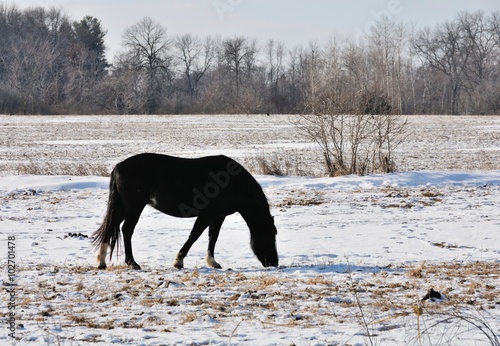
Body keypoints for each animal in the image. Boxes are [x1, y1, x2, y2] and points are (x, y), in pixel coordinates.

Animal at [92, 153, 280, 270]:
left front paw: (212, 262)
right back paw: (132, 263)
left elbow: (213, 237)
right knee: (126, 230)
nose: (274, 262)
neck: (233, 183)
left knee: (111, 227)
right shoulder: (207, 215)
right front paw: (178, 261)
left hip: (124, 208)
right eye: (270, 235)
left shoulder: (218, 216)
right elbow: (194, 235)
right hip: (133, 208)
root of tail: (119, 167)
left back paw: (101, 261)